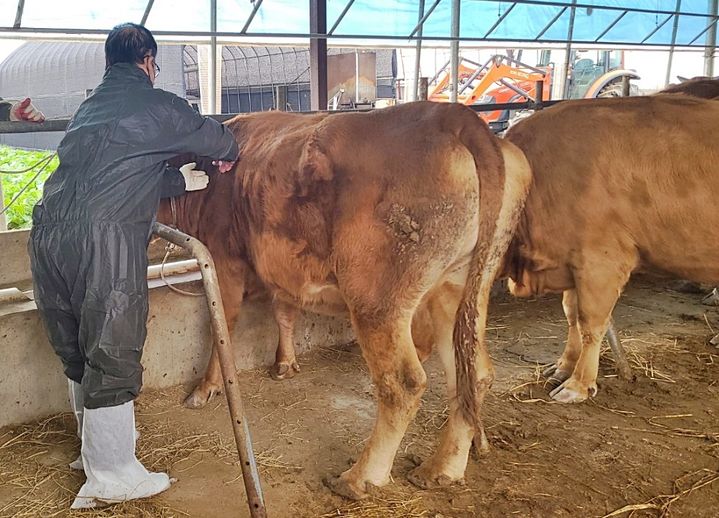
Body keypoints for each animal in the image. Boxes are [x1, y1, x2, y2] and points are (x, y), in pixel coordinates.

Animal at [160, 102, 532, 500]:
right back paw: (442, 469)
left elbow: (221, 325)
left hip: (377, 300)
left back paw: (360, 478)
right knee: (472, 373)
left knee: (403, 384)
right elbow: (284, 311)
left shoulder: (222, 261)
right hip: (459, 287)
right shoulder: (283, 271)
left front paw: (205, 388)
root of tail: (454, 117)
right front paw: (284, 363)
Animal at [504, 96, 719, 406]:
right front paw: (563, 366)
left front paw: (579, 384)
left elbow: (591, 323)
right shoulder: (573, 259)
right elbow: (571, 314)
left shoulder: (602, 261)